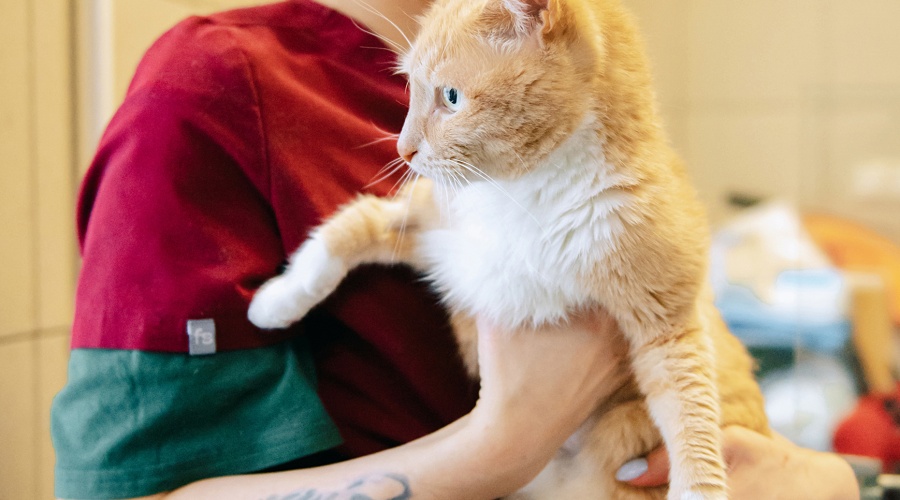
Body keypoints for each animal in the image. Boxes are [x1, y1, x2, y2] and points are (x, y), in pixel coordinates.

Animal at [248, 0, 769, 498]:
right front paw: (276, 302)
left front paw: (699, 488)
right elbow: (344, 231)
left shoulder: (667, 317)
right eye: (410, 90)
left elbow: (689, 403)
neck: (524, 192)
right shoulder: (435, 224)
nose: (402, 150)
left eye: (451, 97)